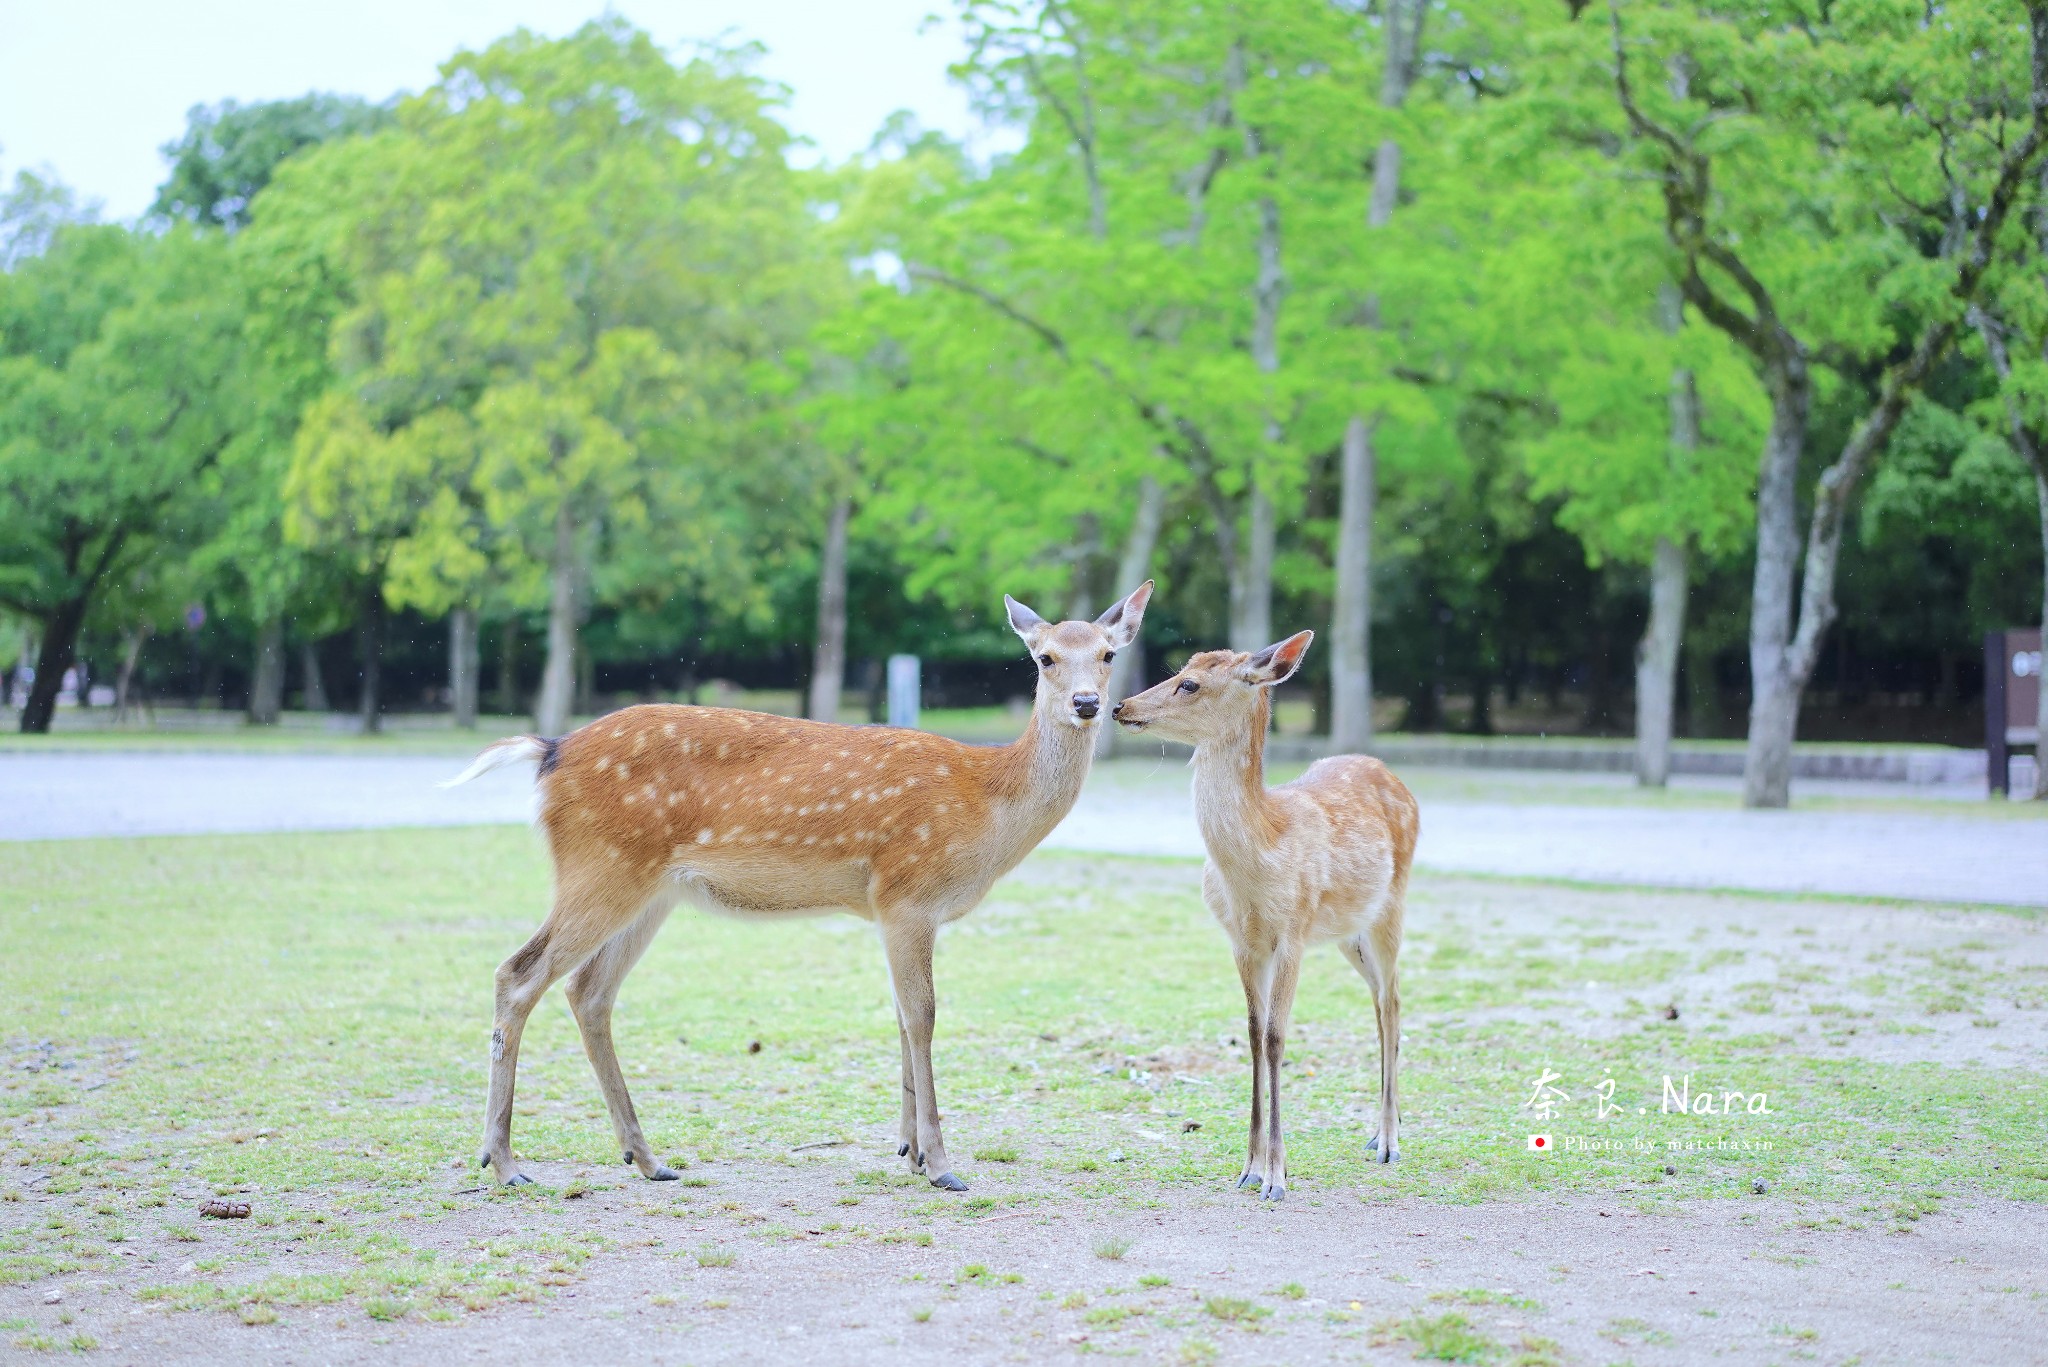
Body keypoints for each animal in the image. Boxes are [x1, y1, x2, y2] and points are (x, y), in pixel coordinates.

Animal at [450, 582, 1155, 1188]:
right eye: (1044, 657)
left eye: (1108, 653)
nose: (1088, 703)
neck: (989, 804)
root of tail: (549, 751)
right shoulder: (908, 893)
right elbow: (923, 1016)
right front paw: (940, 1163)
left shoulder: (889, 909)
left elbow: (901, 1016)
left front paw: (907, 1151)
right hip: (600, 867)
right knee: (518, 974)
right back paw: (504, 1162)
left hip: (652, 891)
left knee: (589, 991)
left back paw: (647, 1158)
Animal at [1114, 631, 1417, 1196]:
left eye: (1189, 683)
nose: (1121, 706)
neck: (1258, 862)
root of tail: (1394, 776)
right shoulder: (1242, 940)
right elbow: (1253, 1035)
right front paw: (1248, 1168)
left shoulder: (1293, 931)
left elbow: (1277, 1038)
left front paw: (1276, 1174)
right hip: (1347, 933)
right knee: (1377, 1001)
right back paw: (1375, 1133)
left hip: (1393, 905)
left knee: (1392, 1000)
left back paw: (1389, 1142)